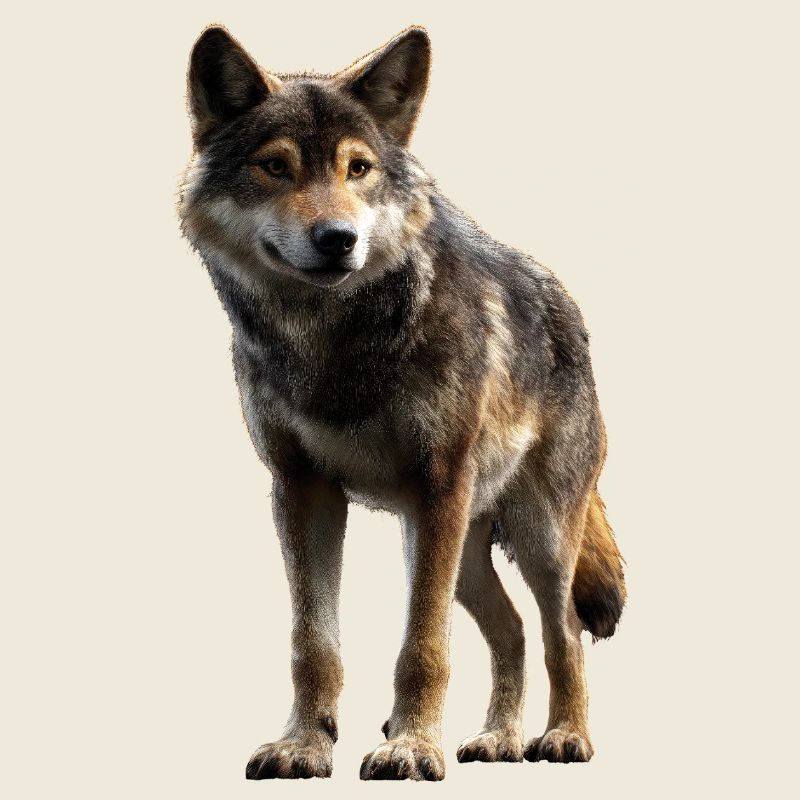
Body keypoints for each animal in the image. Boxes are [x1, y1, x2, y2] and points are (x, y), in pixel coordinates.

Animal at [179, 25, 626, 781]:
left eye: (358, 168)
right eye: (276, 167)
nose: (339, 239)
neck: (333, 341)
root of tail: (568, 306)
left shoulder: (438, 485)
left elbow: (423, 645)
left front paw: (411, 747)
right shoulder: (301, 490)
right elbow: (313, 643)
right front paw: (304, 745)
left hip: (531, 536)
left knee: (560, 630)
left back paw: (564, 737)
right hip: (461, 550)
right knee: (510, 631)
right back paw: (498, 739)